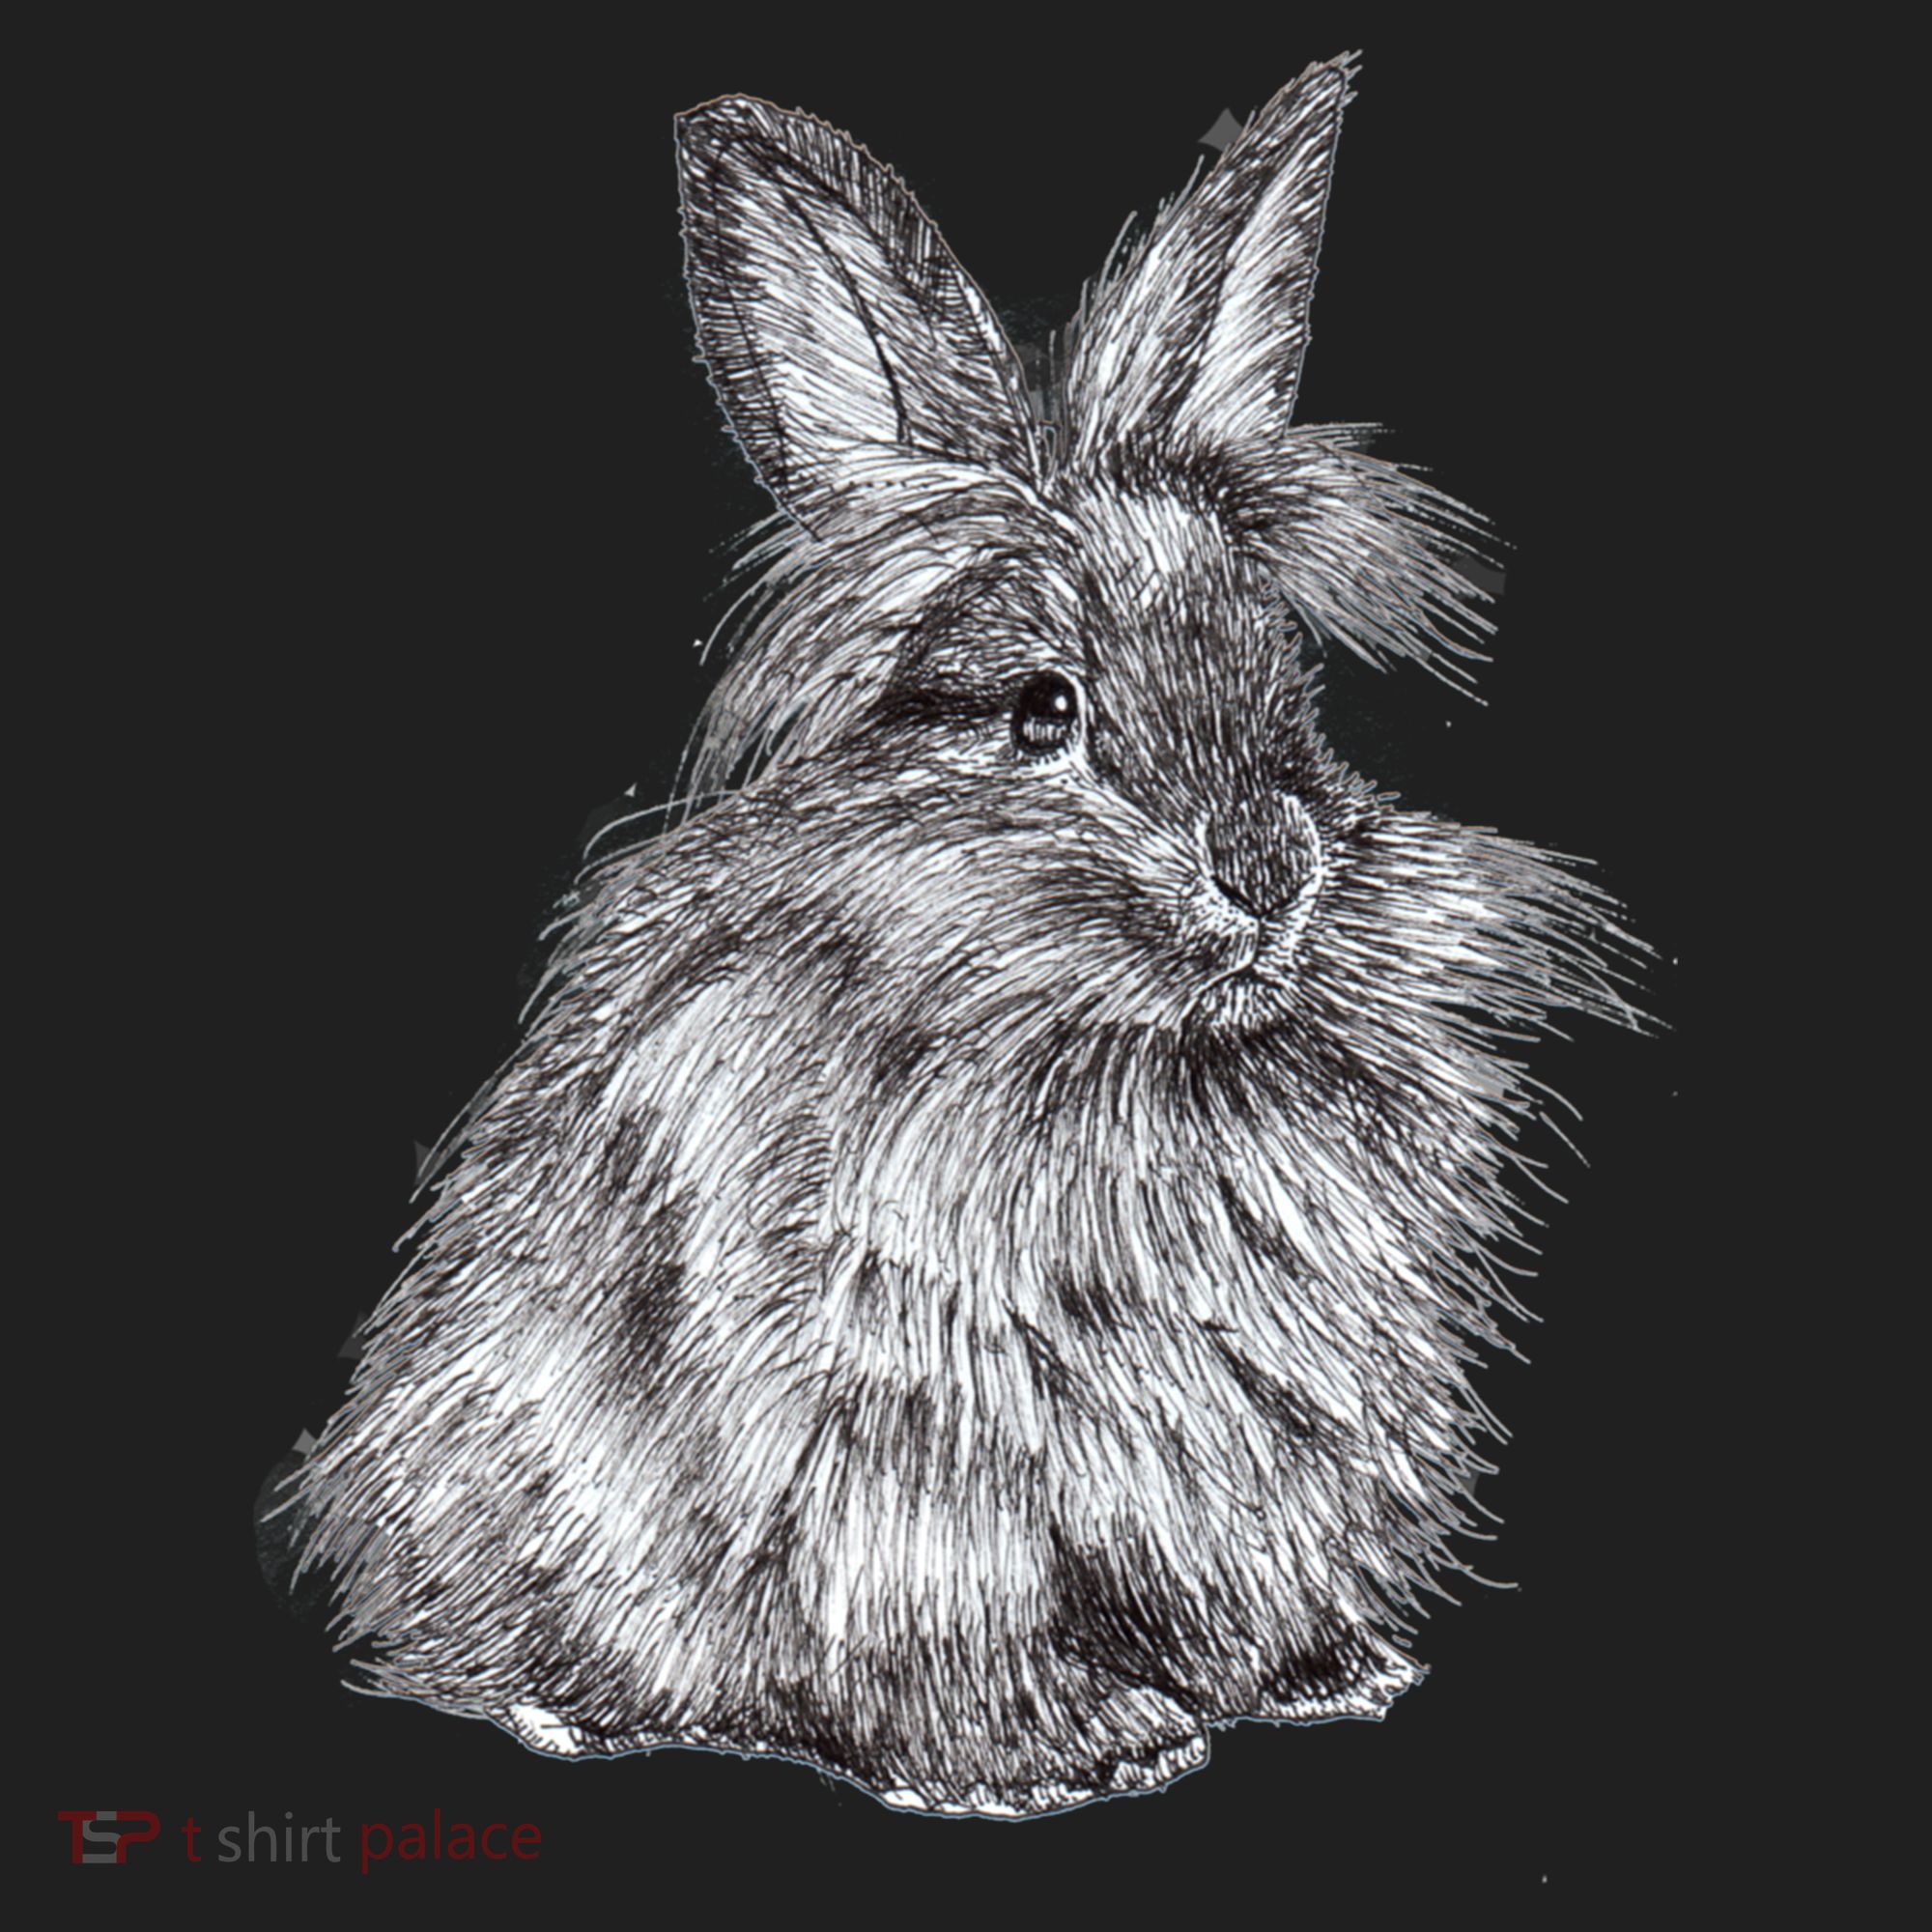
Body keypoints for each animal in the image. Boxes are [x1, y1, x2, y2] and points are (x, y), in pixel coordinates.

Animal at [289, 55, 1640, 1817]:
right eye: (1043, 712)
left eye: (1286, 683)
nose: (1274, 875)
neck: (1111, 1044)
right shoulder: (907, 1456)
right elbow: (940, 1616)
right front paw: (1067, 1756)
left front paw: (1330, 1675)